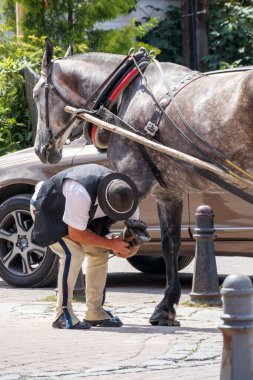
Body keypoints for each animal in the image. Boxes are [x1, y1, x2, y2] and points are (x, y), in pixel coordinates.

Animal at [32, 38, 253, 326]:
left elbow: (99, 226)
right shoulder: (168, 193)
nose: (40, 149)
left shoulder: (128, 184)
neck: (124, 95)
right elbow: (170, 246)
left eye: (36, 95)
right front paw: (166, 306)